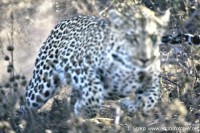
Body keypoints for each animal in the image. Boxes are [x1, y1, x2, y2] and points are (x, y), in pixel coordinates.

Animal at [17, 4, 170, 118]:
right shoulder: (81, 67)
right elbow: (93, 94)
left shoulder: (151, 81)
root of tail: (61, 22)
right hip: (42, 85)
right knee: (26, 105)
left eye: (154, 37)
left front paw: (129, 106)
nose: (144, 59)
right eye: (131, 38)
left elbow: (151, 100)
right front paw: (83, 110)